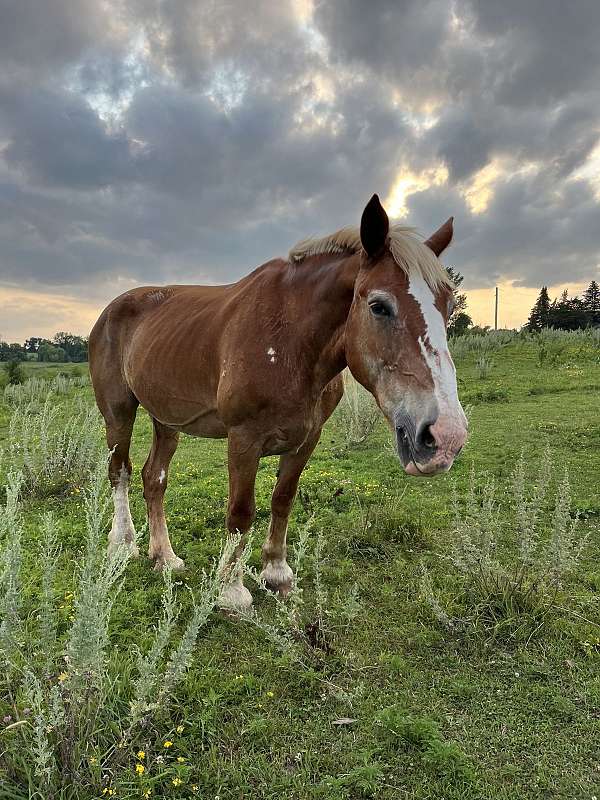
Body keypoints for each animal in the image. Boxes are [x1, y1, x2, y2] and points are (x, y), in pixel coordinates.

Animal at [88, 194, 468, 608]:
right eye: (379, 306)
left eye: (448, 306)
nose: (445, 437)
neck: (290, 340)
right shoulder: (243, 438)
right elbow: (241, 511)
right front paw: (231, 590)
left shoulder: (307, 438)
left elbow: (283, 498)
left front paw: (277, 573)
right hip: (118, 412)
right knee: (120, 471)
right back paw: (122, 545)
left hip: (166, 418)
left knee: (153, 478)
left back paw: (165, 557)